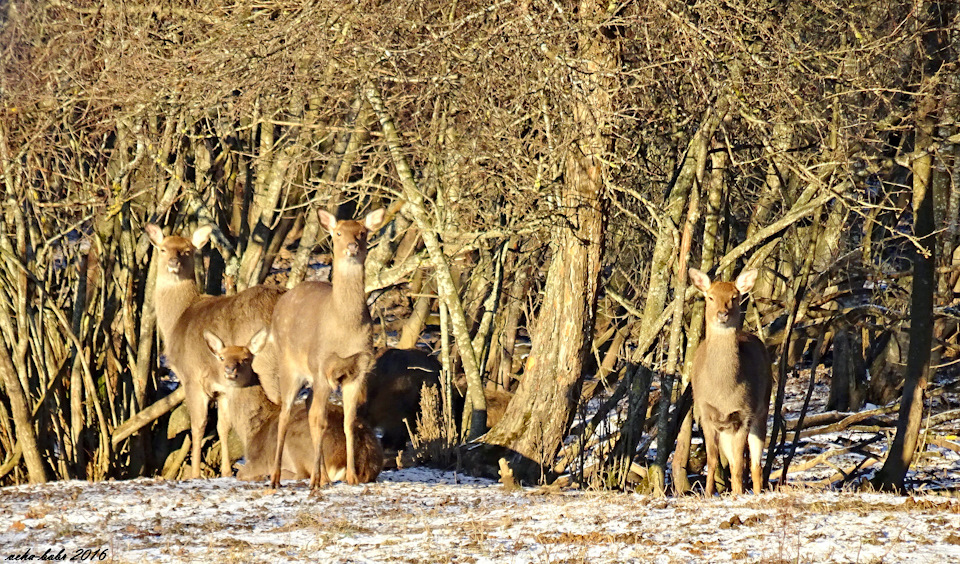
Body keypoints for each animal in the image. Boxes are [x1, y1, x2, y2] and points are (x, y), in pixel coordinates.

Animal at [144, 223, 284, 478]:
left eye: (187, 251)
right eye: (163, 249)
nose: (174, 262)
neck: (177, 320)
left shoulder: (191, 376)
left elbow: (198, 425)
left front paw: (195, 473)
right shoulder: (223, 387)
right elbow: (222, 426)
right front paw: (226, 471)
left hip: (267, 366)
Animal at [202, 328, 382, 482]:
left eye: (246, 359)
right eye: (222, 357)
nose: (230, 370)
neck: (251, 432)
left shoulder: (258, 460)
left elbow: (240, 473)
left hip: (298, 443)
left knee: (303, 474)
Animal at [266, 207, 386, 490]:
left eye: (362, 232)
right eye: (339, 233)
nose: (352, 246)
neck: (345, 330)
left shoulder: (358, 371)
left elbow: (348, 422)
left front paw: (352, 477)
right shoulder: (322, 366)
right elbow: (319, 420)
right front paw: (314, 481)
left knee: (309, 409)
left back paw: (322, 476)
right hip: (290, 364)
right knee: (286, 414)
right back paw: (277, 478)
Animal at [688, 268, 772, 494]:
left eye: (734, 297)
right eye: (710, 297)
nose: (722, 313)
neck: (723, 393)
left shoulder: (744, 414)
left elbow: (740, 465)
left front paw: (738, 494)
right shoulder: (705, 413)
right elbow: (713, 460)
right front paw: (708, 494)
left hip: (762, 408)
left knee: (754, 463)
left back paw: (755, 492)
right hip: (725, 428)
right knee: (734, 461)